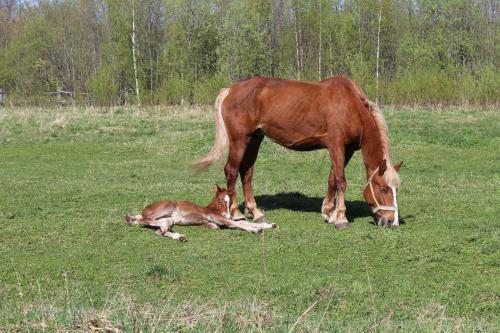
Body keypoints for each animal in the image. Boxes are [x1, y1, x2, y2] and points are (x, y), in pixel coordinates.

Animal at [125, 184, 280, 241]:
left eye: (230, 202)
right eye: (220, 201)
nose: (228, 214)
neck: (213, 209)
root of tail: (144, 210)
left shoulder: (219, 222)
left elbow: (244, 222)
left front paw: (270, 225)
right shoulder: (218, 219)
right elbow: (240, 224)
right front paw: (257, 230)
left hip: (168, 219)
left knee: (157, 231)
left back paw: (179, 236)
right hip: (167, 206)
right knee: (144, 220)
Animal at [193, 76, 404, 228]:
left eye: (396, 190)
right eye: (383, 189)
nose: (391, 222)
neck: (350, 105)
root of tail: (231, 89)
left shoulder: (348, 149)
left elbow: (332, 179)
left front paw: (329, 212)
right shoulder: (336, 145)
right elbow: (341, 181)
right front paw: (341, 218)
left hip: (254, 139)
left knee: (246, 173)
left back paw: (256, 212)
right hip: (240, 140)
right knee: (231, 171)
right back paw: (236, 213)